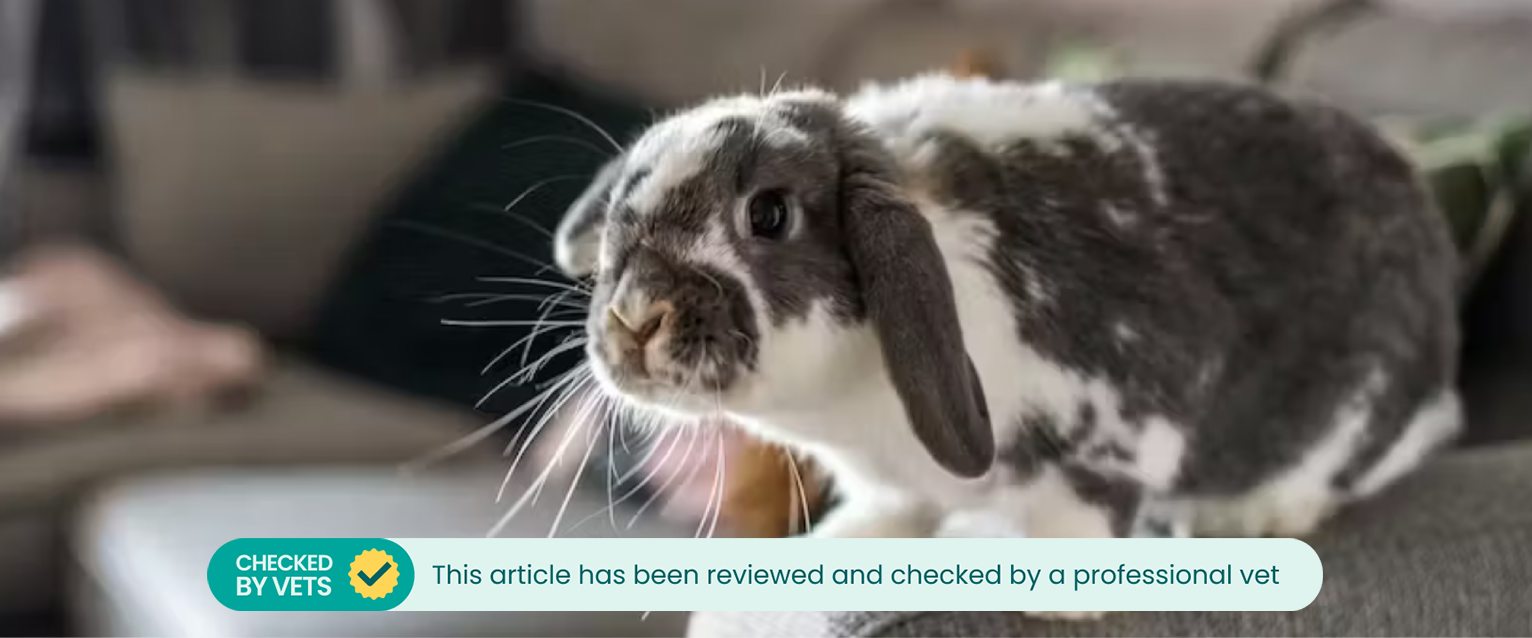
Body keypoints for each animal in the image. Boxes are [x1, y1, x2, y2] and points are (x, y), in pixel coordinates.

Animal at [550, 73, 1461, 541]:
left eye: (768, 215)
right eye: (623, 206)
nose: (635, 318)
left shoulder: (1123, 416)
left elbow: (1088, 512)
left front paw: (1055, 598)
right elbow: (896, 509)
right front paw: (857, 539)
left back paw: (1257, 518)